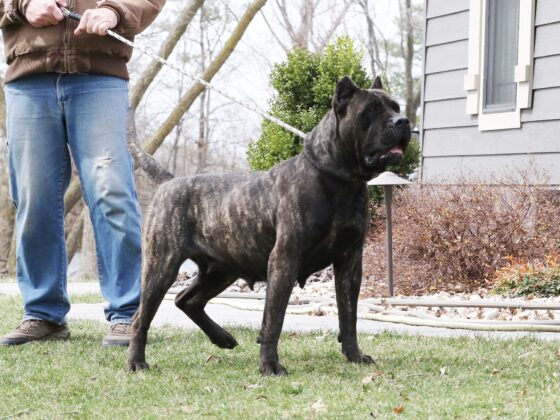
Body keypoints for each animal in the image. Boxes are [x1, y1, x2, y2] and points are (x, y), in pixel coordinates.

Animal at [127, 75, 411, 375]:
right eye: (371, 110)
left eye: (395, 107)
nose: (403, 121)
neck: (341, 181)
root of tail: (169, 181)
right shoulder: (285, 259)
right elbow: (274, 319)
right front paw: (270, 366)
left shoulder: (350, 261)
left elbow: (349, 315)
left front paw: (354, 355)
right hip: (162, 266)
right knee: (141, 317)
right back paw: (136, 361)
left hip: (221, 270)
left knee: (186, 299)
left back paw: (223, 338)